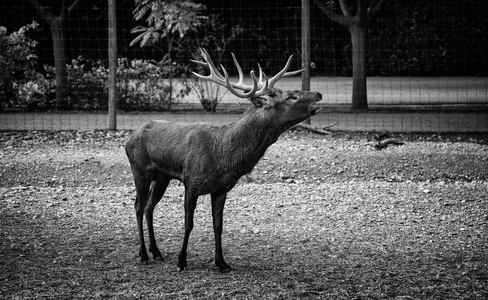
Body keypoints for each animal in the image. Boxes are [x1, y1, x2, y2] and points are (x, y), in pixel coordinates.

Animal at [125, 48, 320, 272]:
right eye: (291, 96)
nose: (318, 94)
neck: (222, 155)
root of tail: (128, 139)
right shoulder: (191, 182)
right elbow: (189, 223)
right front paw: (182, 260)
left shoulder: (221, 189)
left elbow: (218, 225)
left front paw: (222, 262)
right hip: (139, 171)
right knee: (138, 206)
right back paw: (143, 254)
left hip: (162, 177)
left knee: (149, 207)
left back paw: (156, 252)